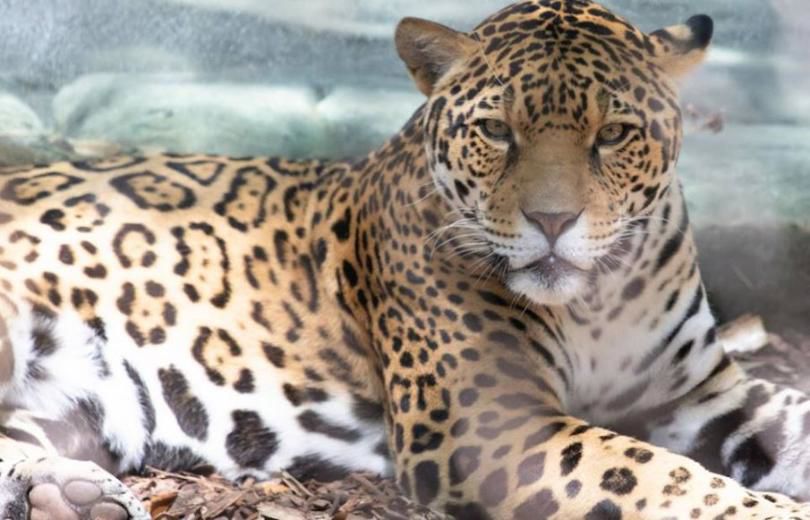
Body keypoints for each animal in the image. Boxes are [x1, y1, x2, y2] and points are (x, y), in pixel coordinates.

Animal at [0, 1, 808, 519]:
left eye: (613, 134)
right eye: (496, 130)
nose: (552, 221)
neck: (596, 300)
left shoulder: (702, 396)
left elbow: (788, 420)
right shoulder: (490, 428)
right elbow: (653, 473)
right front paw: (764, 512)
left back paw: (66, 497)